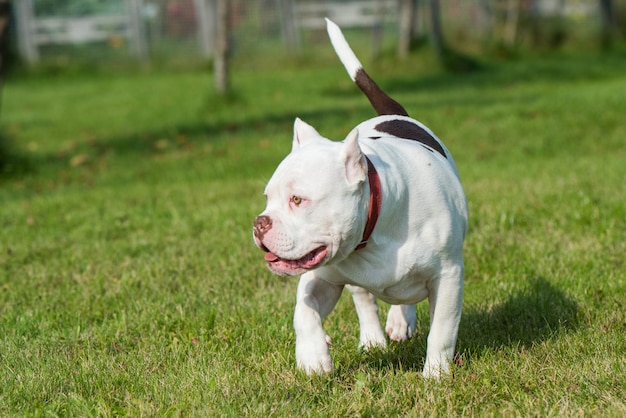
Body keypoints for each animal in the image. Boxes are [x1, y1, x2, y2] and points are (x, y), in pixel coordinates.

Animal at [251, 19, 466, 378]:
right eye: (268, 198)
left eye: (298, 200)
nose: (259, 223)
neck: (377, 224)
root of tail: (392, 114)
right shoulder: (321, 276)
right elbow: (303, 311)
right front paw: (313, 357)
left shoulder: (448, 276)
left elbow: (442, 330)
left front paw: (435, 374)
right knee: (364, 299)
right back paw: (373, 339)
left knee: (405, 298)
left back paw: (400, 322)